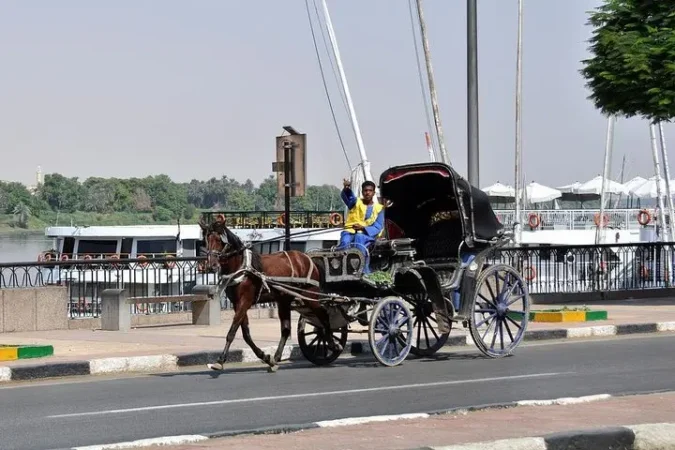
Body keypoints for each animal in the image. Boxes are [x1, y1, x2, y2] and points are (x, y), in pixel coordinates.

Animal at [198, 216, 340, 370]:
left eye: (219, 239)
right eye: (206, 240)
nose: (211, 265)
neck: (242, 267)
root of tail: (308, 259)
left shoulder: (245, 302)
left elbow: (232, 331)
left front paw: (220, 360)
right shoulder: (237, 304)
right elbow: (246, 334)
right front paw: (265, 357)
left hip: (310, 295)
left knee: (324, 316)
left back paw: (332, 343)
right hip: (284, 300)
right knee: (286, 329)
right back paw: (276, 358)